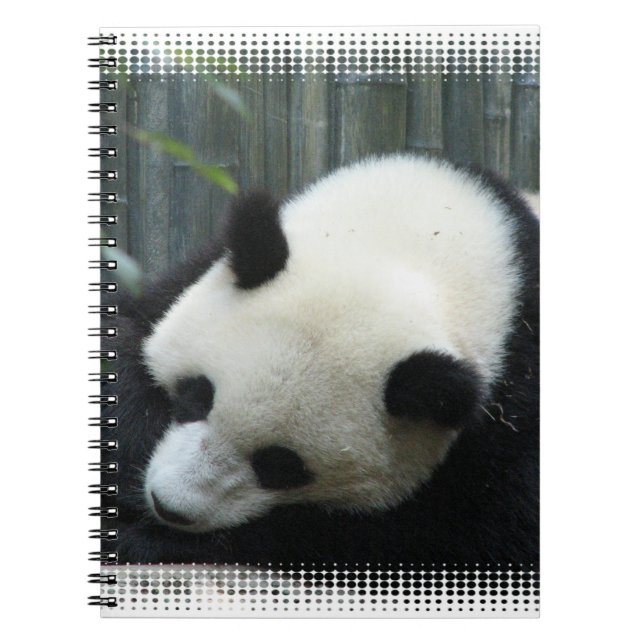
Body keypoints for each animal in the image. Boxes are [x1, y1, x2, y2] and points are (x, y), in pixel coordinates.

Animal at [103, 155, 539, 567]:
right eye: (196, 398)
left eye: (281, 466)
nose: (169, 507)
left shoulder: (510, 424)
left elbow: (455, 535)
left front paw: (148, 537)